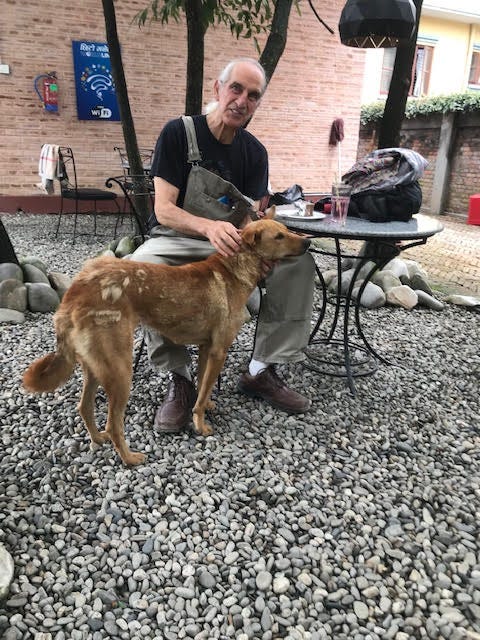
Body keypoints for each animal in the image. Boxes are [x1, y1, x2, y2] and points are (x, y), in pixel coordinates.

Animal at [23, 218, 310, 465]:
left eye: (286, 230)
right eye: (279, 236)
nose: (307, 243)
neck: (234, 268)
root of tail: (75, 291)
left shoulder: (207, 348)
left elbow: (203, 386)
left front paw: (205, 406)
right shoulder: (219, 350)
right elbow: (202, 393)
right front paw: (201, 425)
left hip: (95, 367)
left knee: (84, 407)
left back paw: (97, 439)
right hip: (120, 370)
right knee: (113, 423)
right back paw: (129, 458)